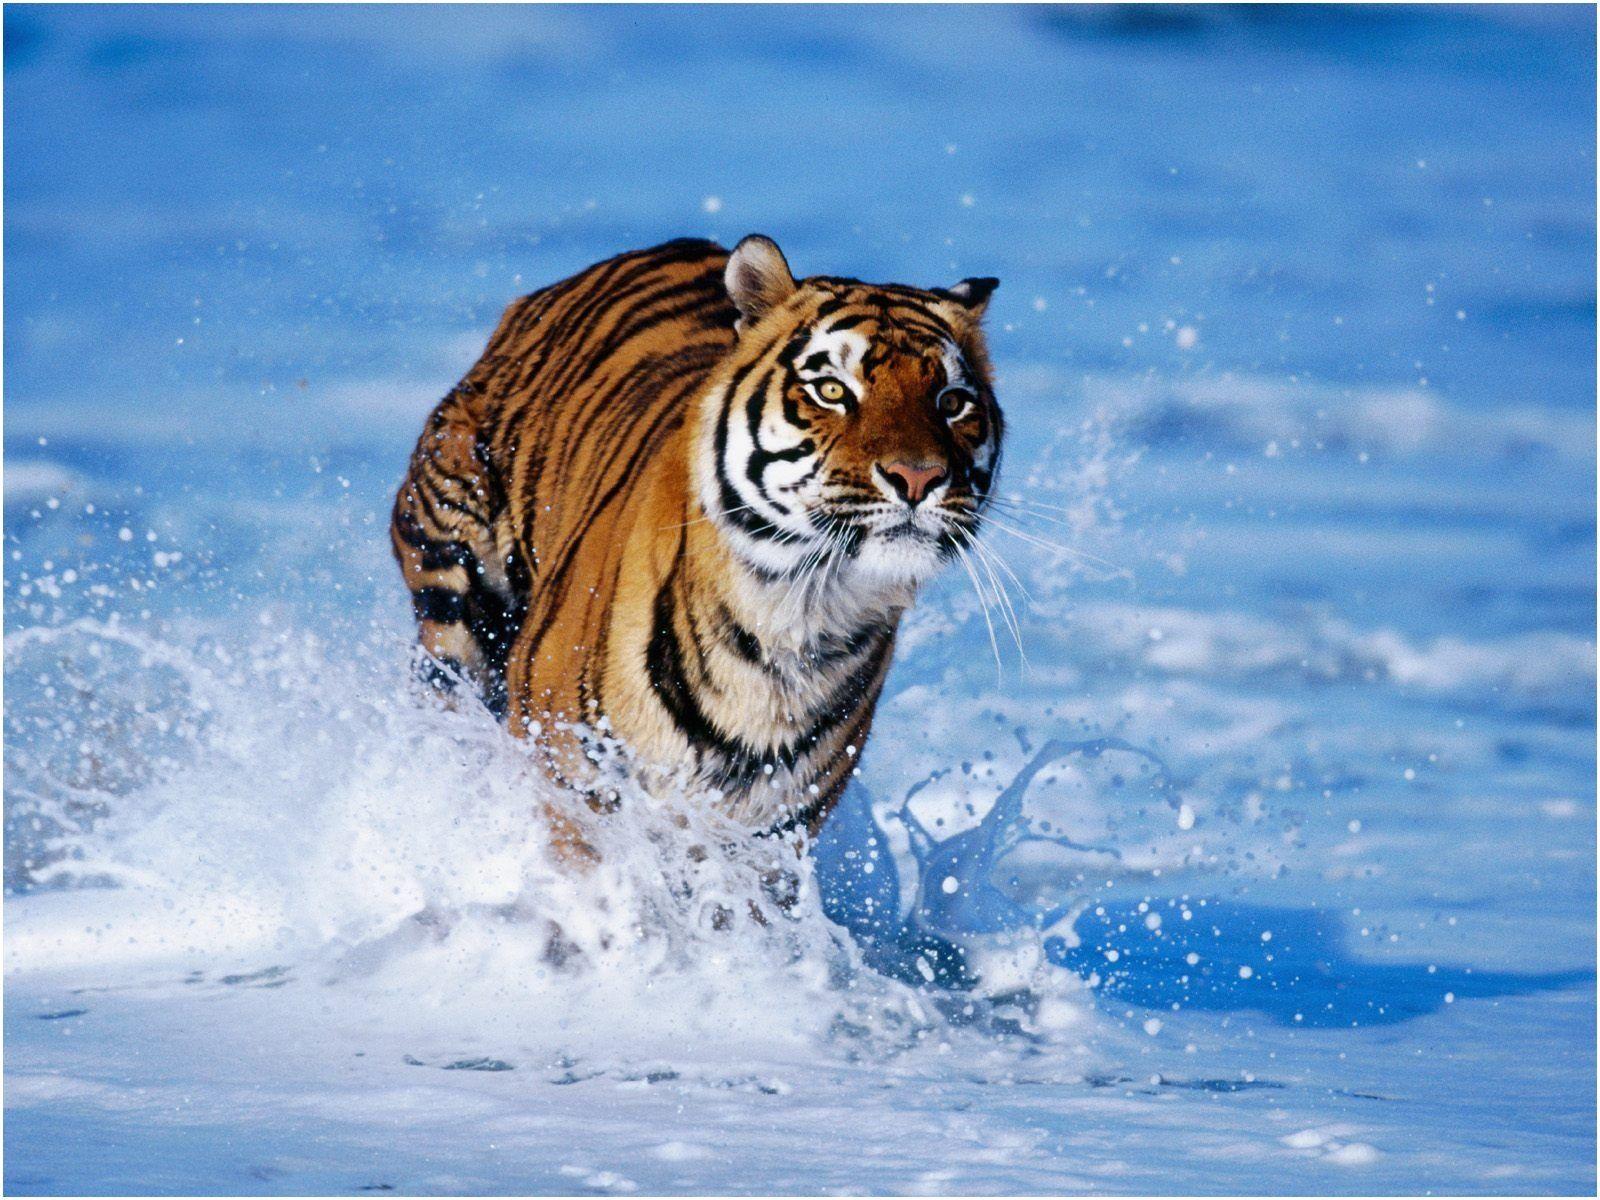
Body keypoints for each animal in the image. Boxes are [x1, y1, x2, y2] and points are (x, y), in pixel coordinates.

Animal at [391, 235, 1001, 844]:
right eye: (831, 390)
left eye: (952, 402)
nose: (918, 478)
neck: (796, 618)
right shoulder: (573, 783)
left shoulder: (773, 832)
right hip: (455, 599)